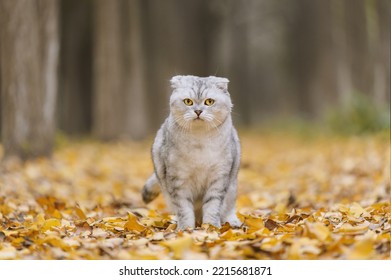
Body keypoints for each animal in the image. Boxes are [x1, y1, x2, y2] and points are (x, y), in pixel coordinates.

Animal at [143, 74, 242, 230]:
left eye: (209, 102)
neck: (199, 141)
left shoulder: (219, 177)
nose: (198, 111)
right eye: (188, 102)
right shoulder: (178, 179)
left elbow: (213, 205)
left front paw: (211, 227)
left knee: (229, 208)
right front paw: (186, 229)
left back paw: (232, 221)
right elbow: (184, 209)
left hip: (232, 188)